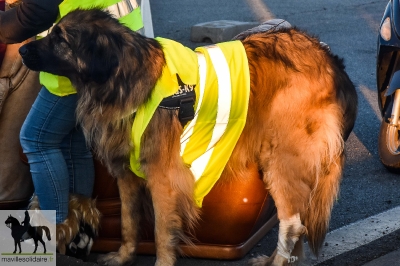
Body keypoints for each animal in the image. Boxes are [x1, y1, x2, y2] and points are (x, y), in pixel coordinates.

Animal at [20, 8, 358, 266]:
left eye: (60, 38)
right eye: (53, 32)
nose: (21, 49)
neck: (124, 78)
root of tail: (329, 58)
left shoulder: (163, 179)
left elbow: (160, 231)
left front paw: (161, 261)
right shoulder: (126, 175)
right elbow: (129, 222)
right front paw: (123, 256)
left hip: (281, 161)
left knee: (292, 224)